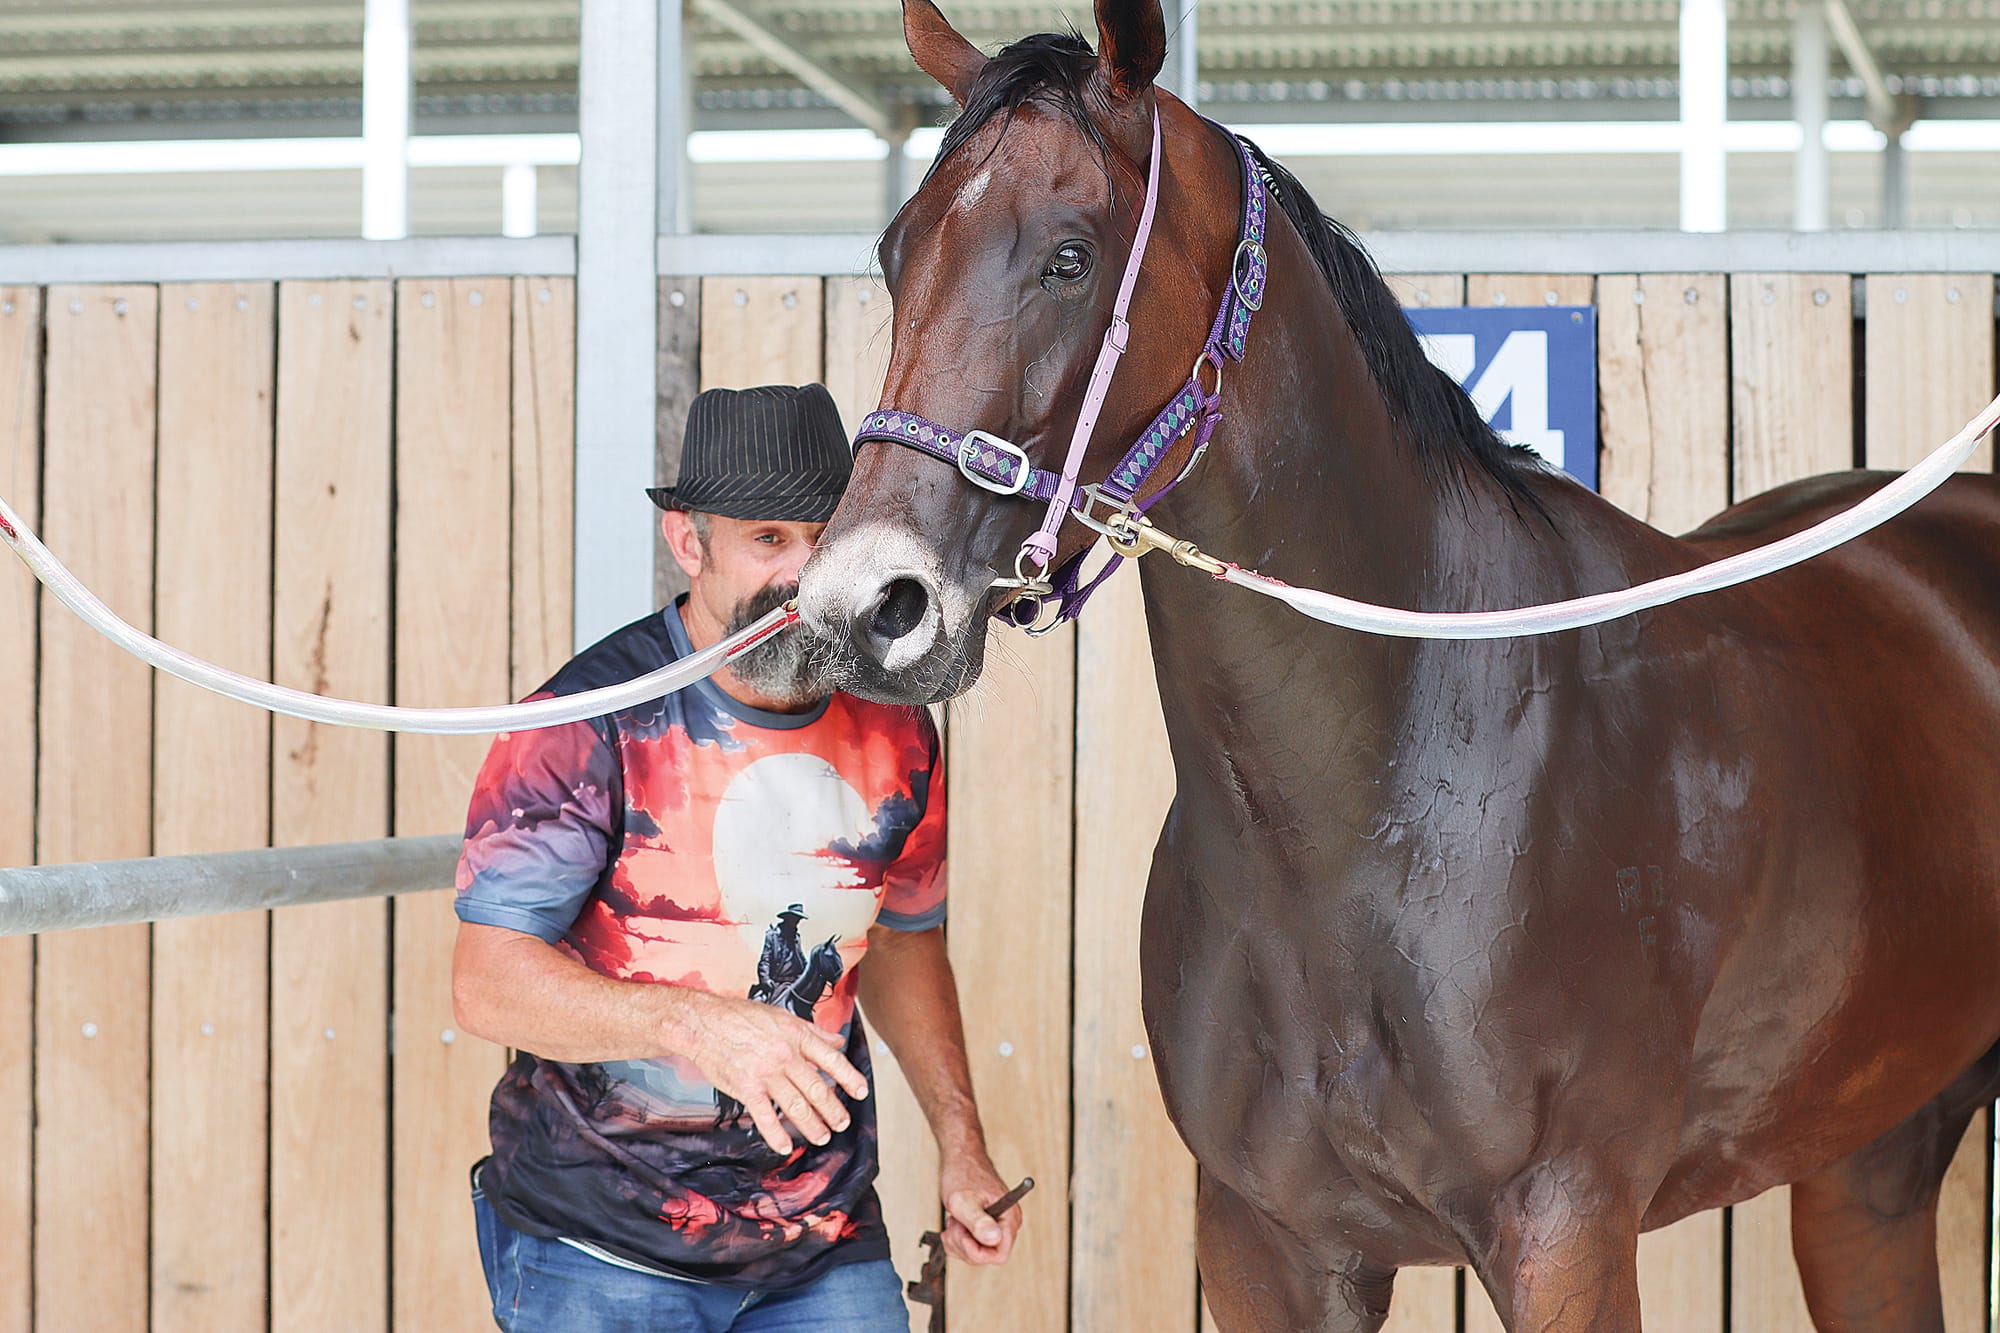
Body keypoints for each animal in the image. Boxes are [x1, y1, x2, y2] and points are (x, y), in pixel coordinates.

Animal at [793, 0, 2000, 1326]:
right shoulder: (1264, 1244)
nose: (866, 604)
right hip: (1868, 1158)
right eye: (897, 253)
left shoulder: (1566, 1233)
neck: (1370, 832)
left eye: (1069, 254)